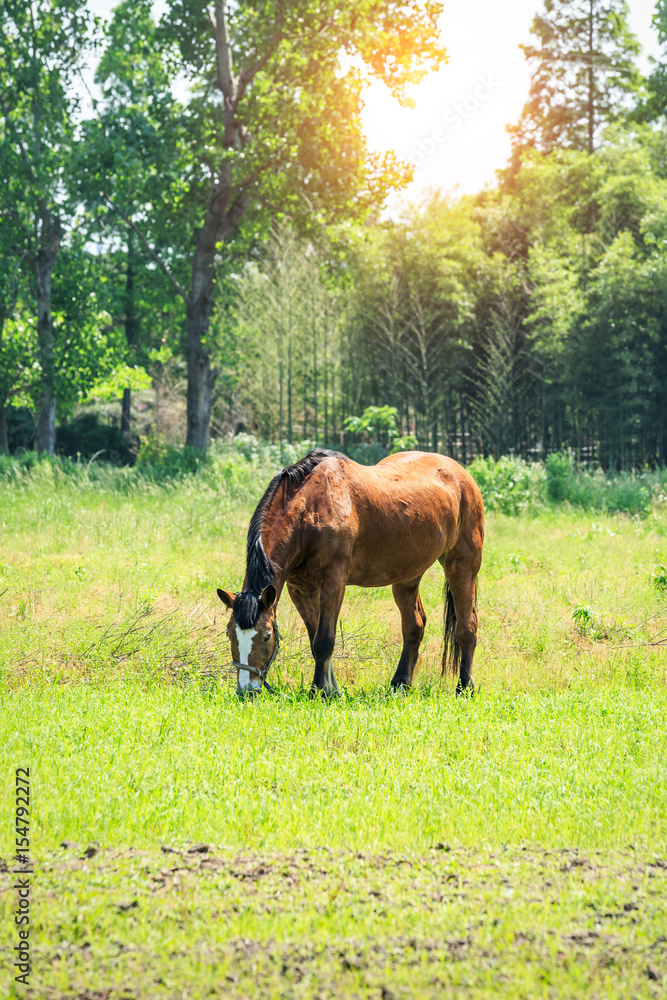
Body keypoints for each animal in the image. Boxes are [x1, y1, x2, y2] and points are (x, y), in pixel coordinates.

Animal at [219, 452, 486, 696]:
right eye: (230, 634)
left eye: (266, 636)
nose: (246, 690)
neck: (311, 508)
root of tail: (461, 474)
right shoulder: (300, 588)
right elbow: (315, 640)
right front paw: (331, 690)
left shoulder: (334, 581)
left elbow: (324, 640)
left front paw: (319, 691)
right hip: (407, 576)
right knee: (414, 626)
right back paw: (400, 684)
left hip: (462, 565)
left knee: (466, 627)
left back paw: (465, 686)